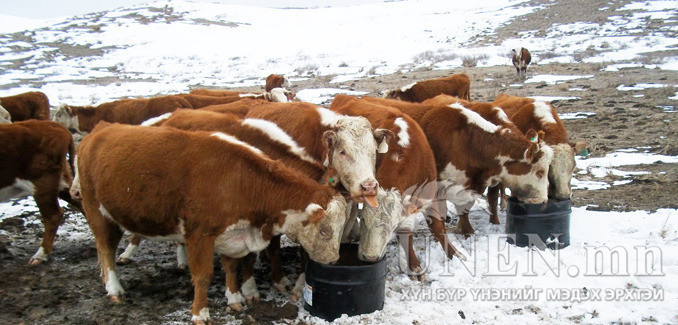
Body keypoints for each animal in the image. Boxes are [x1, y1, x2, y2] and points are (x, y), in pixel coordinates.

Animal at [77, 121, 348, 322]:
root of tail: (101, 129)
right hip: (97, 213)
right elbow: (203, 275)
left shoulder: (231, 233)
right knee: (106, 250)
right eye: (324, 231)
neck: (239, 179)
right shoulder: (200, 234)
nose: (334, 260)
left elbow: (231, 266)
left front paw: (235, 299)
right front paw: (200, 313)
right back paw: (114, 289)